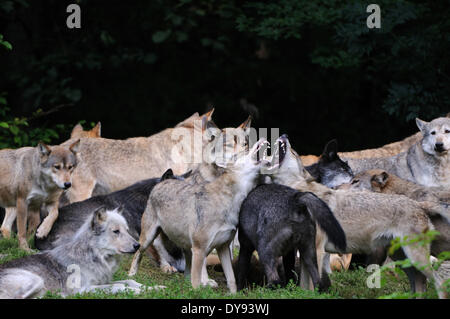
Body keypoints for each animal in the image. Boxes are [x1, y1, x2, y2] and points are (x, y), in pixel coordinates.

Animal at [0, 206, 163, 298]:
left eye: (127, 230)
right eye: (116, 231)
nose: (138, 245)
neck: (94, 256)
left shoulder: (102, 282)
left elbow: (130, 281)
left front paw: (154, 288)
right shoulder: (84, 290)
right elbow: (121, 287)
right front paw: (141, 292)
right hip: (36, 280)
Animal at [127, 139, 268, 294]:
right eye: (243, 152)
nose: (259, 140)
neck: (229, 202)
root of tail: (162, 183)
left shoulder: (223, 248)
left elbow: (231, 279)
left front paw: (233, 295)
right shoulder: (200, 249)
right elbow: (196, 282)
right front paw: (199, 290)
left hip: (189, 248)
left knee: (187, 272)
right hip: (149, 239)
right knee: (139, 253)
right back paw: (132, 274)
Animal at [268, 135, 448, 300]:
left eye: (293, 152)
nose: (284, 135)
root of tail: (419, 204)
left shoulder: (318, 252)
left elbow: (313, 287)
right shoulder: (306, 253)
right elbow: (304, 288)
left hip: (415, 258)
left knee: (439, 283)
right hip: (404, 260)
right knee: (420, 283)